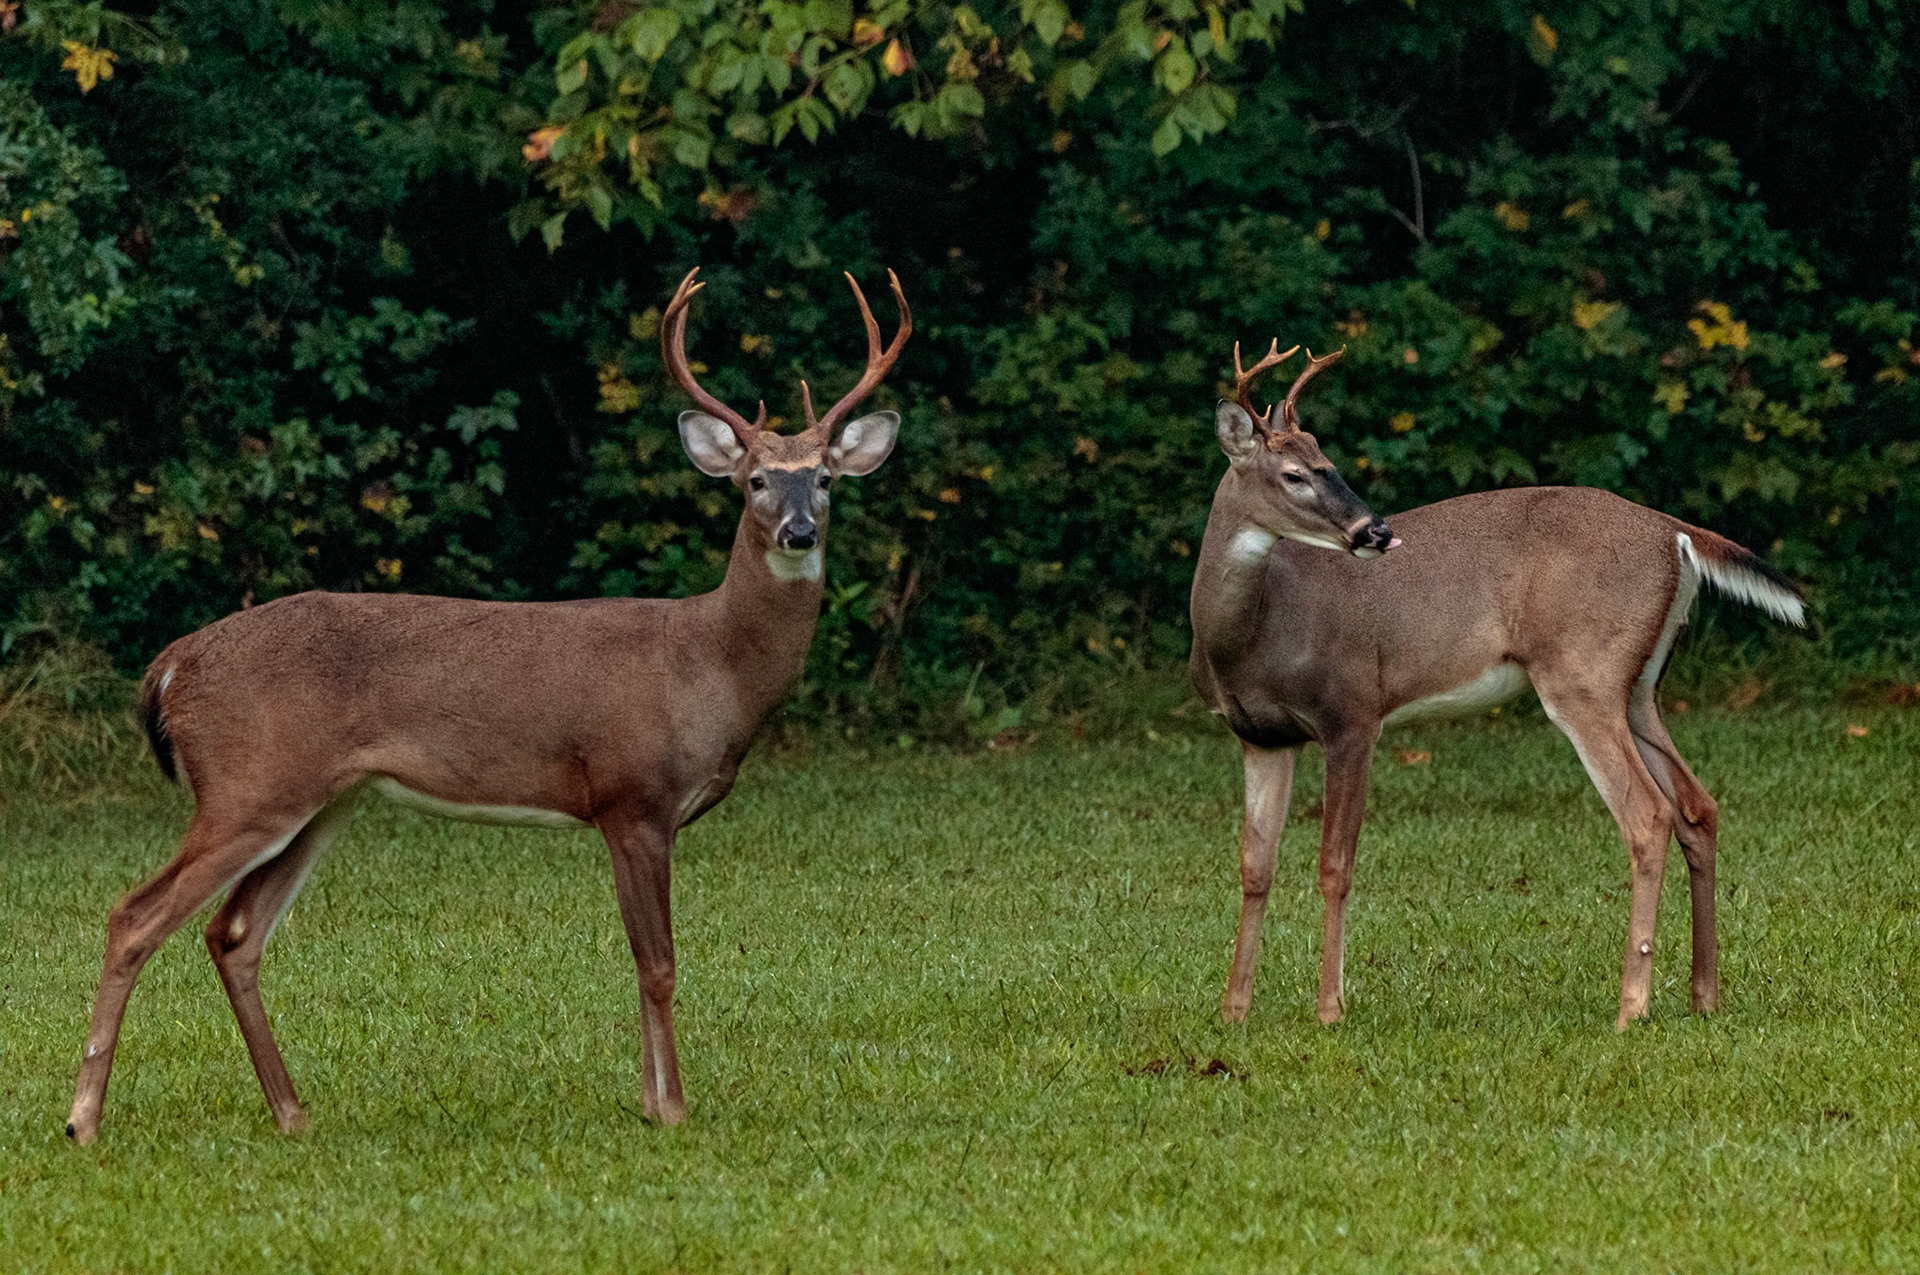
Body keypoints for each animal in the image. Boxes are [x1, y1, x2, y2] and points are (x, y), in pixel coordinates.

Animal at [64, 267, 911, 1144]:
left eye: (824, 477)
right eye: (755, 480)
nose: (799, 531)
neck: (707, 664)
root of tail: (171, 666)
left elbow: (642, 959)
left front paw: (649, 1101)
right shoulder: (631, 796)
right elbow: (659, 962)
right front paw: (672, 1107)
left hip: (318, 800)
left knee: (233, 933)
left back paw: (292, 1113)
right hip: (246, 785)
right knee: (135, 914)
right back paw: (84, 1120)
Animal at [1189, 341, 1805, 1031]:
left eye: (1329, 463)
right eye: (1295, 473)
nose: (1376, 530)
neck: (1252, 635)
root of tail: (1678, 535)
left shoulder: (1352, 712)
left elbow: (1334, 866)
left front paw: (1330, 1009)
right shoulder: (1261, 737)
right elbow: (1254, 866)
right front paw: (1233, 1010)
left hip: (1581, 675)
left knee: (1649, 815)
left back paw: (1631, 1007)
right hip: (1639, 688)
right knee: (1698, 806)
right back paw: (1704, 996)